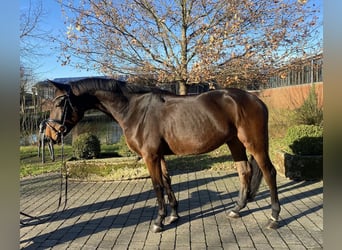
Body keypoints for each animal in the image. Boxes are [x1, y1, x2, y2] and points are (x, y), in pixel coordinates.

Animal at [45, 77, 280, 232]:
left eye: (59, 103)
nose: (50, 134)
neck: (135, 111)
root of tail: (256, 99)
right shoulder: (160, 156)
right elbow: (167, 181)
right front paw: (174, 214)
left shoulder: (150, 156)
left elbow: (157, 186)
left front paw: (159, 221)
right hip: (234, 142)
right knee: (244, 171)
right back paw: (237, 209)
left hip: (254, 143)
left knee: (269, 172)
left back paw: (274, 217)